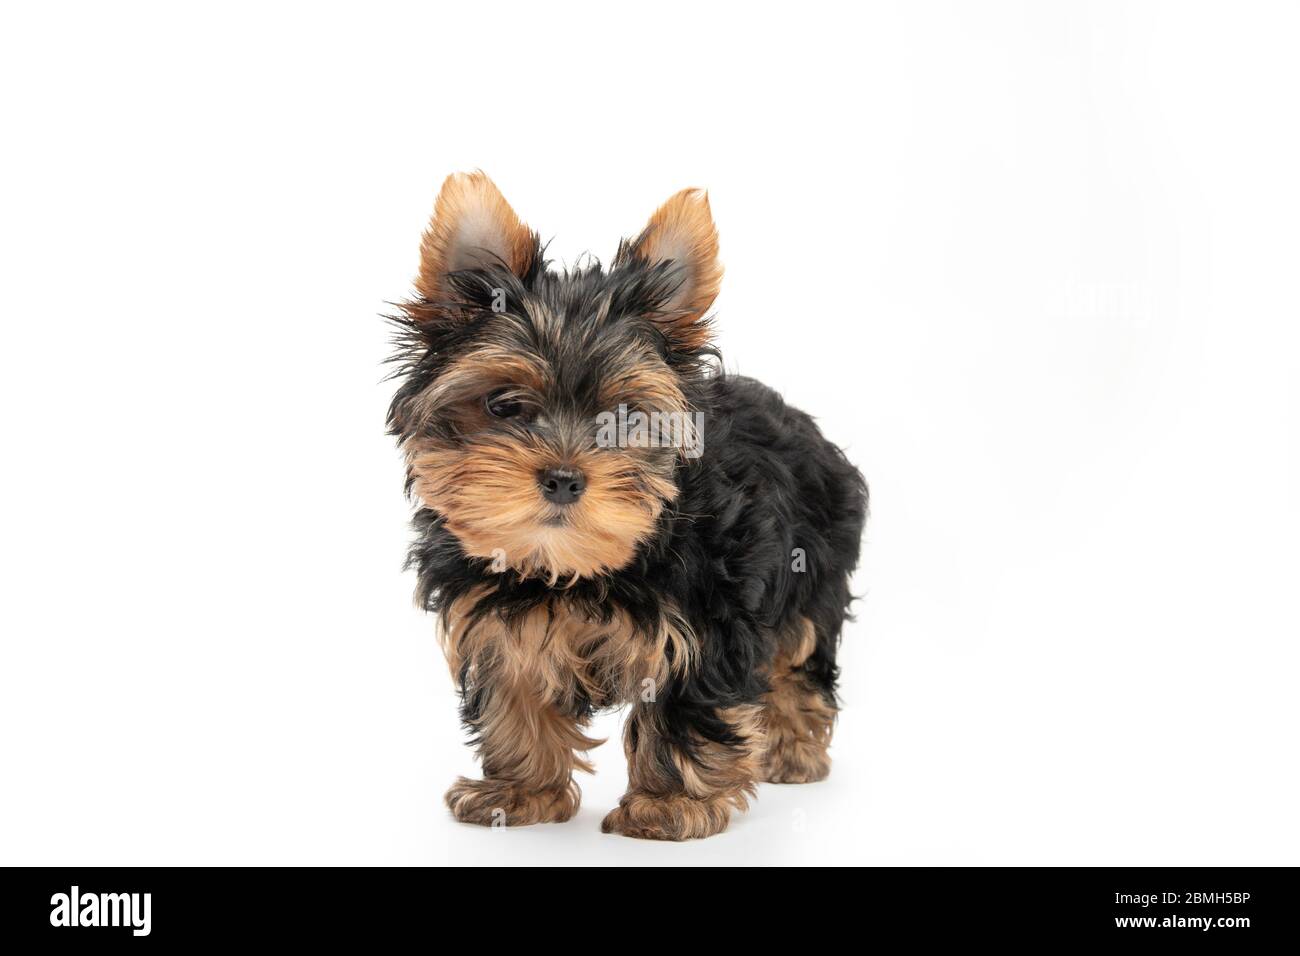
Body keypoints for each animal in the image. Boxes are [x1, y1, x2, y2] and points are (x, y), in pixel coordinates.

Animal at [390, 170, 868, 837]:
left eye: (626, 418)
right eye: (504, 405)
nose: (564, 478)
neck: (566, 566)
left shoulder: (705, 620)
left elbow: (684, 702)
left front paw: (669, 804)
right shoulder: (495, 619)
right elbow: (515, 694)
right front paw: (520, 791)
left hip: (811, 575)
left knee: (800, 658)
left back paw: (794, 753)